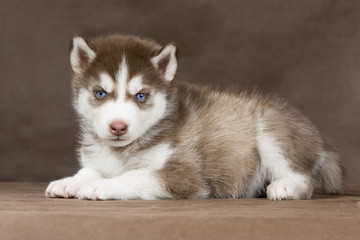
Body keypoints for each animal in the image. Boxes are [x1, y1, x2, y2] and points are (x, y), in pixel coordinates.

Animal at [45, 34, 344, 201]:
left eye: (141, 96)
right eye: (100, 93)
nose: (118, 127)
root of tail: (317, 138)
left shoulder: (186, 174)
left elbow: (133, 176)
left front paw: (101, 186)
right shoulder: (100, 160)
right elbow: (89, 170)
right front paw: (69, 181)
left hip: (271, 130)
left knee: (303, 179)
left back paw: (285, 188)